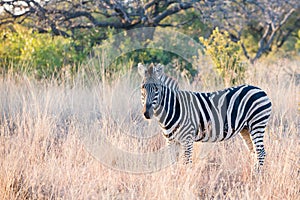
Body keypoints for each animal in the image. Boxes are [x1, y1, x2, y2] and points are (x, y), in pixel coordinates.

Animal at [138, 63, 272, 170]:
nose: (146, 113)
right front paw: (175, 180)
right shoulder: (171, 141)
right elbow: (173, 164)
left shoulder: (187, 139)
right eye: (142, 87)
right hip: (245, 129)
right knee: (254, 152)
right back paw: (252, 175)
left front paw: (186, 182)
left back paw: (257, 178)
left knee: (261, 152)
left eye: (157, 89)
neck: (174, 108)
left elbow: (187, 163)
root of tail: (260, 90)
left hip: (257, 124)